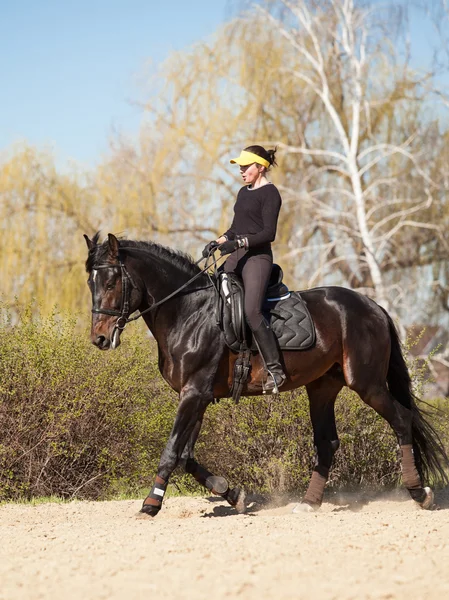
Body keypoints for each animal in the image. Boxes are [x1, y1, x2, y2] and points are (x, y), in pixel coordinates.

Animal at [85, 234, 448, 516]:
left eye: (111, 282)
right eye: (91, 283)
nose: (99, 339)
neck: (189, 313)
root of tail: (373, 306)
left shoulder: (194, 393)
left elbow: (172, 451)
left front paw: (151, 503)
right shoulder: (196, 396)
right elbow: (186, 456)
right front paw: (232, 493)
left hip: (367, 383)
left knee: (401, 420)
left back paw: (420, 493)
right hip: (322, 388)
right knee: (327, 442)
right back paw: (309, 503)